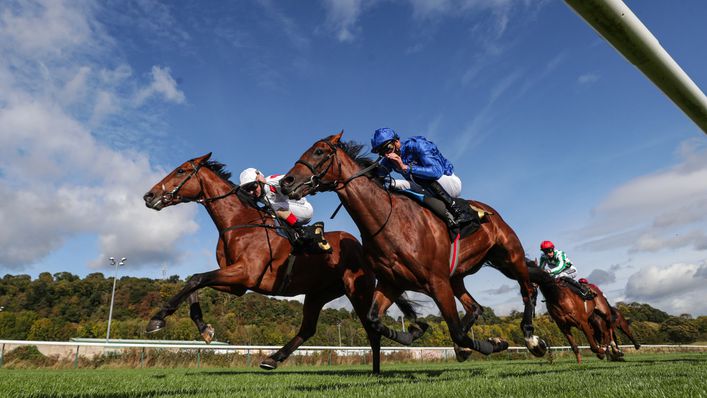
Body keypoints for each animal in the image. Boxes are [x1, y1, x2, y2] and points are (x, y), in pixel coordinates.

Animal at [144, 153, 418, 374]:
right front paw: (204, 329)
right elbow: (195, 282)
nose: (149, 195)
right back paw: (273, 359)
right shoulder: (236, 283)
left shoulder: (245, 273)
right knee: (308, 329)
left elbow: (196, 278)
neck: (240, 221)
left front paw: (157, 319)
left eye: (181, 170)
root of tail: (360, 245)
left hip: (357, 290)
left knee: (371, 328)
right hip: (318, 293)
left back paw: (376, 371)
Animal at [280, 133, 548, 358]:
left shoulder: (437, 282)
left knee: (528, 289)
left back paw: (532, 339)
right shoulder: (392, 282)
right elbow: (374, 319)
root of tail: (488, 211)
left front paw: (496, 343)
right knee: (475, 307)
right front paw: (416, 330)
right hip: (458, 276)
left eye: (319, 151)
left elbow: (457, 332)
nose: (286, 182)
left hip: (509, 254)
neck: (389, 221)